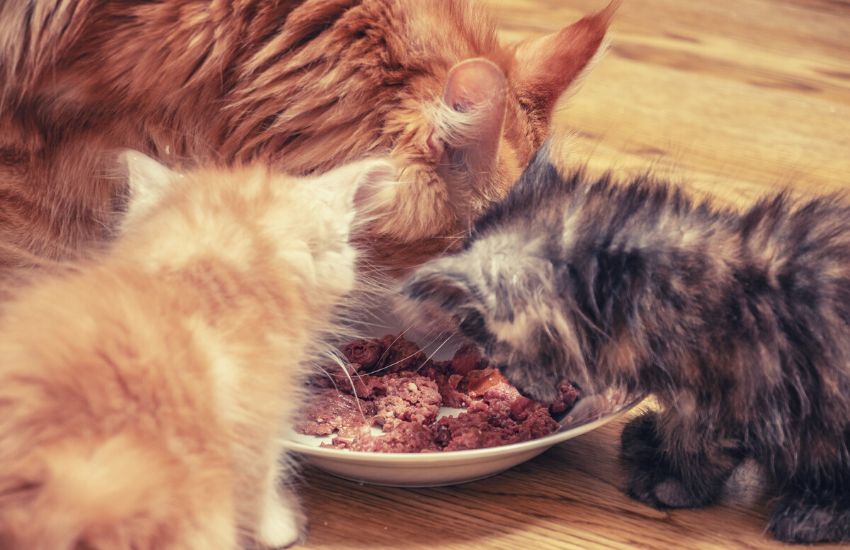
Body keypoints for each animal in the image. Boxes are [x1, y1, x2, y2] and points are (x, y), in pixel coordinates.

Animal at [400, 148, 848, 548]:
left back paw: (811, 515)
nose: (522, 391)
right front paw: (651, 439)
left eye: (478, 332)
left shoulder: (715, 386)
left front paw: (673, 484)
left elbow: (694, 440)